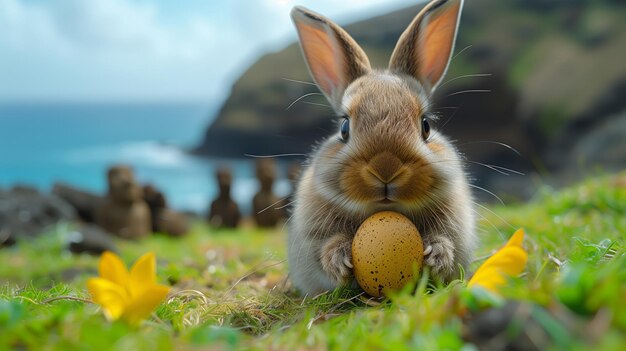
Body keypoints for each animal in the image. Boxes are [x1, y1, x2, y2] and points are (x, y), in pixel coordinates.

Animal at [286, 0, 476, 296]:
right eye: (344, 127)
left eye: (426, 126)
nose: (385, 169)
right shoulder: (311, 235)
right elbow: (323, 248)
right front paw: (338, 259)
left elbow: (448, 240)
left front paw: (437, 254)